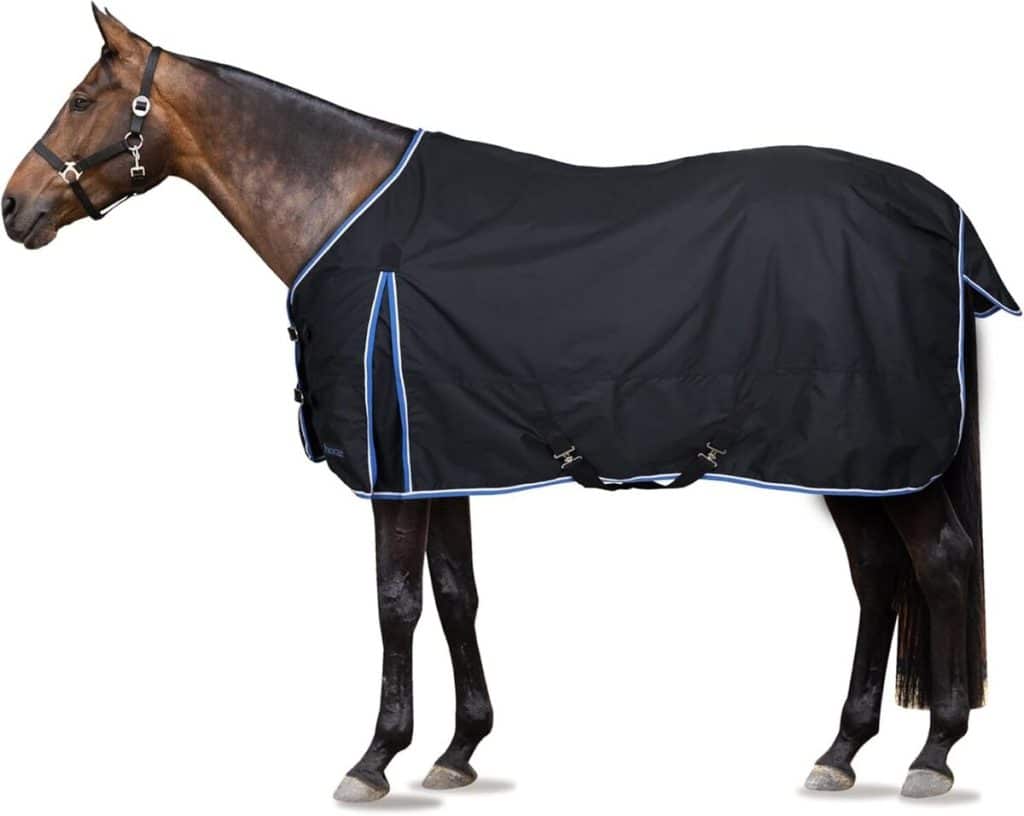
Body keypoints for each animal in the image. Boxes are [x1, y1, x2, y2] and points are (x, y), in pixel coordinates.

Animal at [3, 6, 1013, 802]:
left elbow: (396, 603)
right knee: (879, 576)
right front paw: (458, 749)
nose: (15, 207)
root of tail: (944, 218)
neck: (348, 212)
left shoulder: (395, 470)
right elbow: (457, 593)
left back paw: (933, 753)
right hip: (856, 461)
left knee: (942, 564)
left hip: (883, 456)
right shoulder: (439, 459)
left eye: (84, 100)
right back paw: (841, 750)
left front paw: (375, 758)